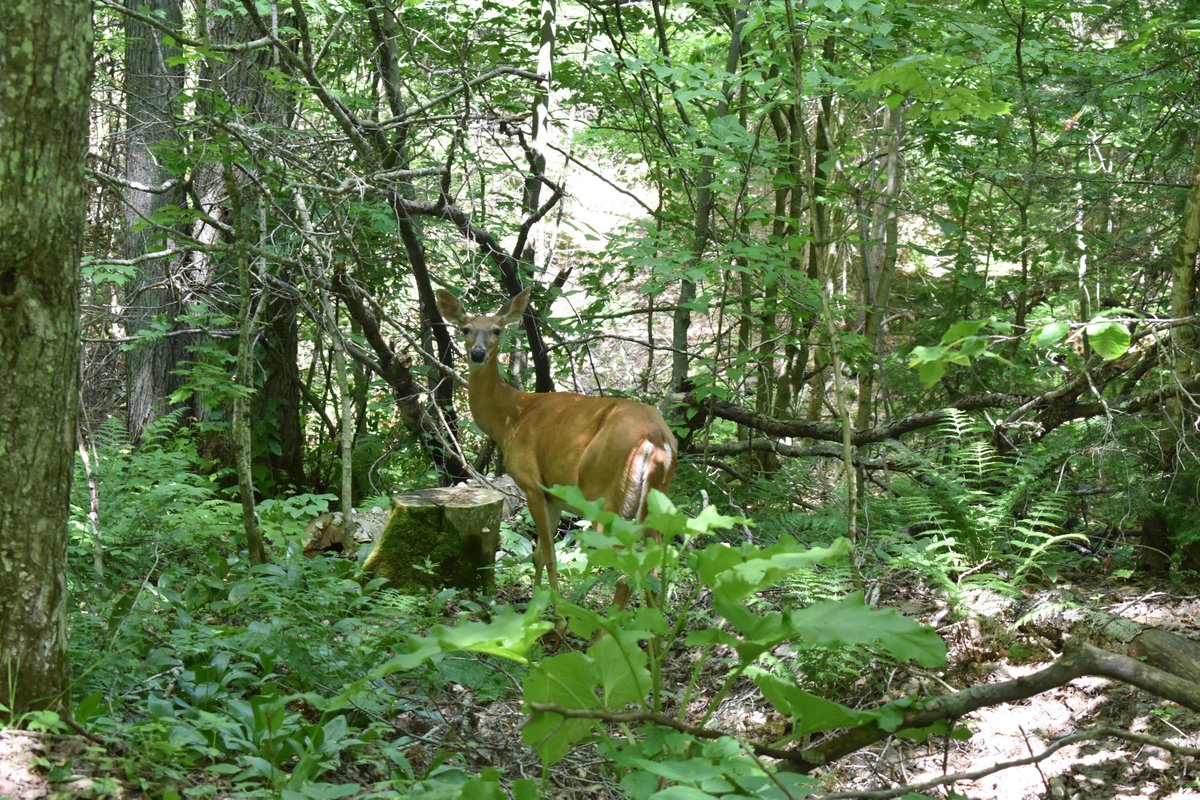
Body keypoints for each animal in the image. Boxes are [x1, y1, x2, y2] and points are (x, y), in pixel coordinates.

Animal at [435, 288, 677, 604]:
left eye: (497, 330)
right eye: (465, 328)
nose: (477, 353)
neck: (511, 417)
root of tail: (654, 437)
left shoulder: (532, 484)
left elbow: (549, 555)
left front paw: (556, 610)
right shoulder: (554, 495)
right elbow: (539, 554)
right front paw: (538, 603)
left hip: (607, 496)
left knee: (625, 573)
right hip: (656, 500)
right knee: (656, 570)